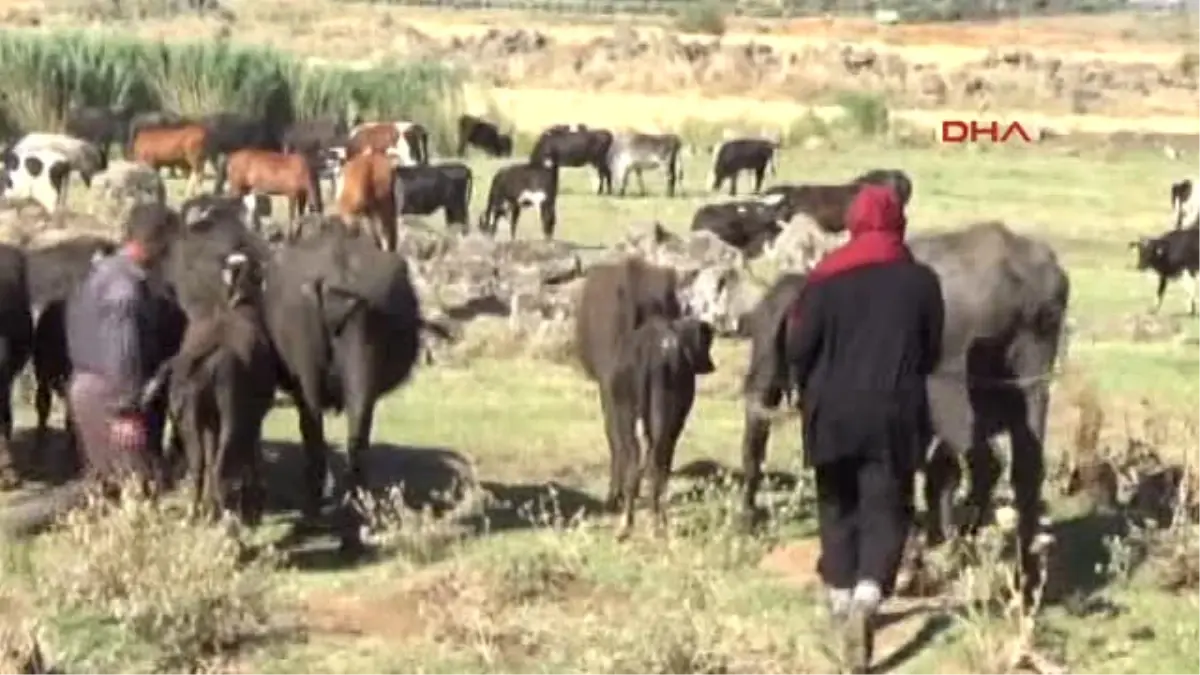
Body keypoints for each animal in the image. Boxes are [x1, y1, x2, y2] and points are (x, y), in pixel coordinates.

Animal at [609, 314, 710, 535]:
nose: (710, 364)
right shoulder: (677, 422)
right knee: (658, 459)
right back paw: (657, 521)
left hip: (626, 414)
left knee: (635, 458)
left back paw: (627, 523)